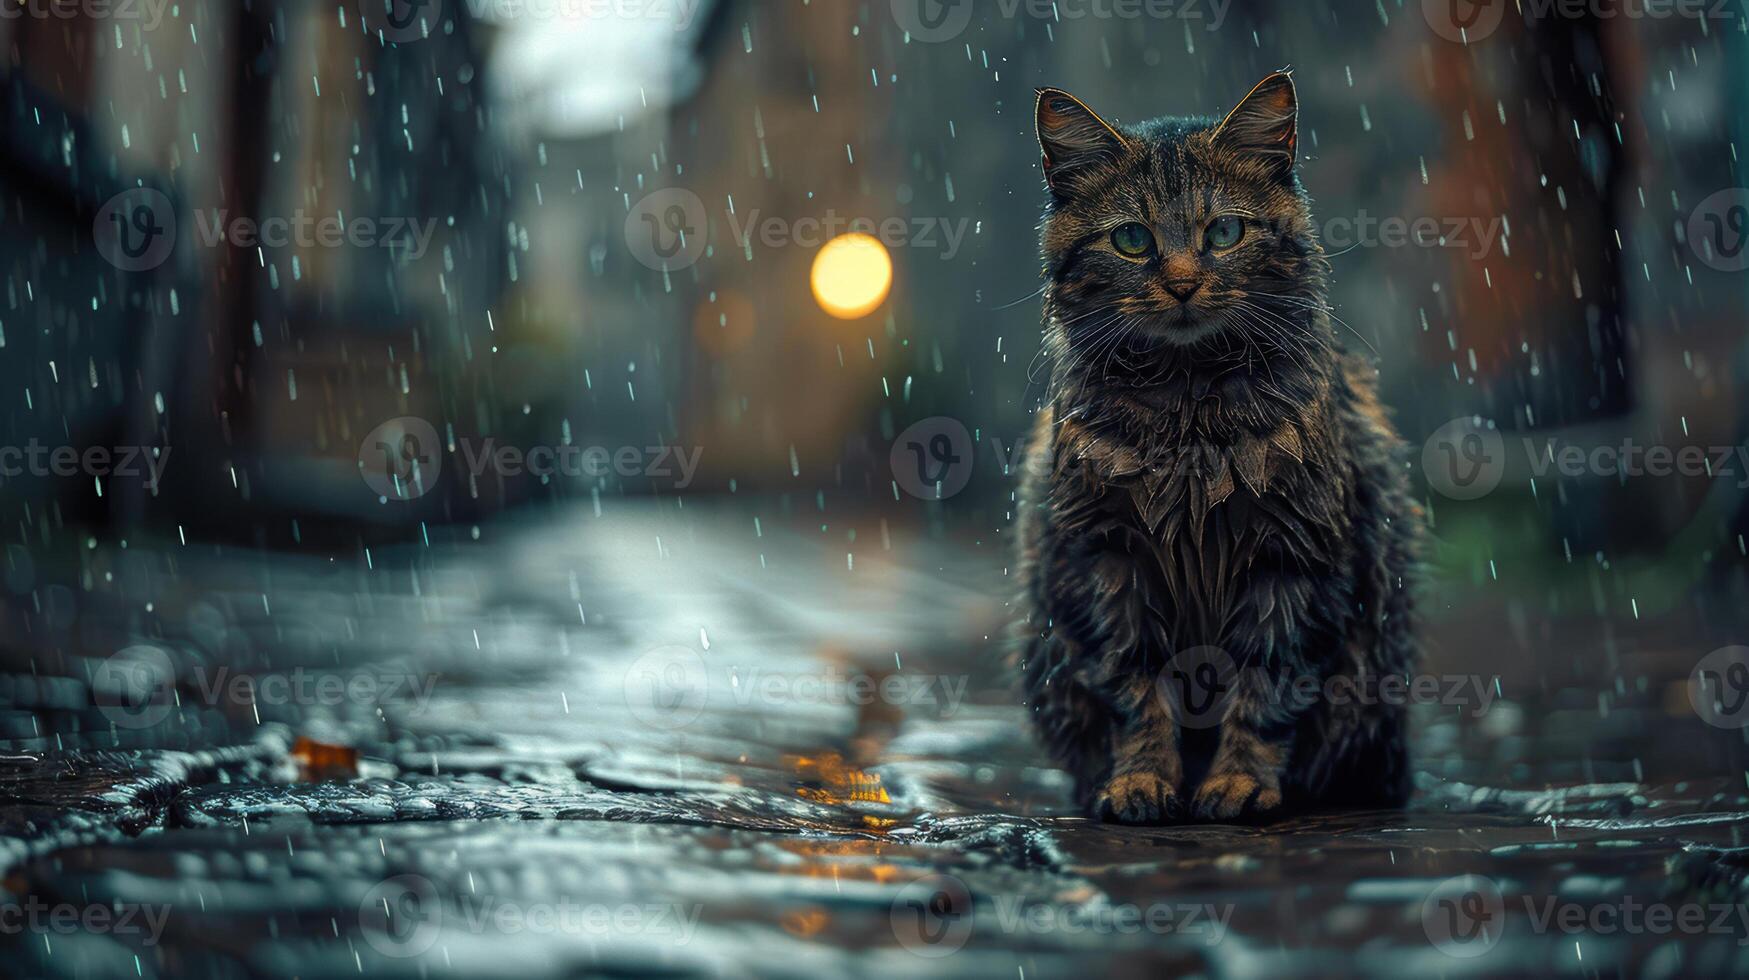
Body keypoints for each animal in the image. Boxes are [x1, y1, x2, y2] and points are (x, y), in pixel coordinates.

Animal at [1014, 69, 1420, 822]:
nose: (1181, 283)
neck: (1189, 415)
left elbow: (1264, 689)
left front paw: (1237, 784)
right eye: (1132, 241)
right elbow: (1135, 692)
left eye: (1224, 231)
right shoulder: (1108, 561)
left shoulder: (1294, 559)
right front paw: (1140, 782)